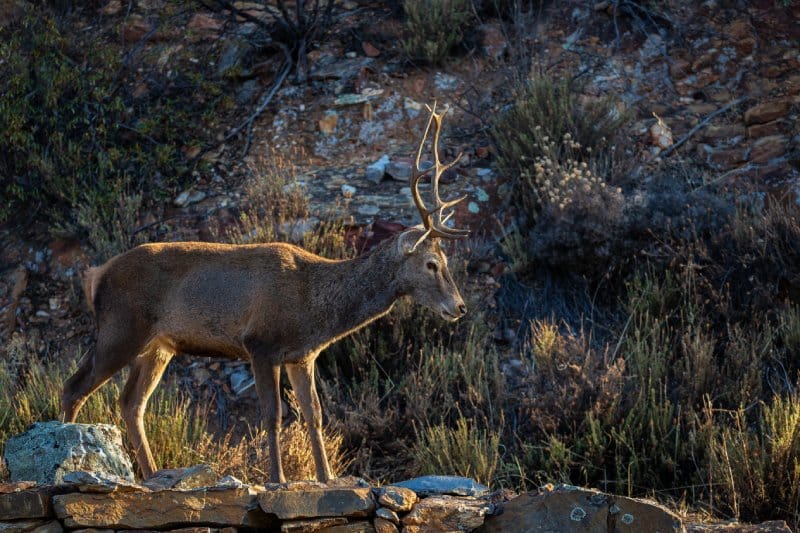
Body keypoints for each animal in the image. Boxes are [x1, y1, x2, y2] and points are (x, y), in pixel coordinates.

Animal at [60, 103, 470, 483]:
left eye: (445, 260)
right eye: (431, 263)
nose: (461, 306)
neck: (314, 306)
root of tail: (95, 275)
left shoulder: (301, 356)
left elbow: (315, 415)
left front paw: (326, 476)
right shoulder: (260, 342)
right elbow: (273, 416)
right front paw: (278, 478)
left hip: (159, 345)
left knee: (131, 403)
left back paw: (153, 474)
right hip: (121, 326)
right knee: (74, 386)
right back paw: (65, 457)